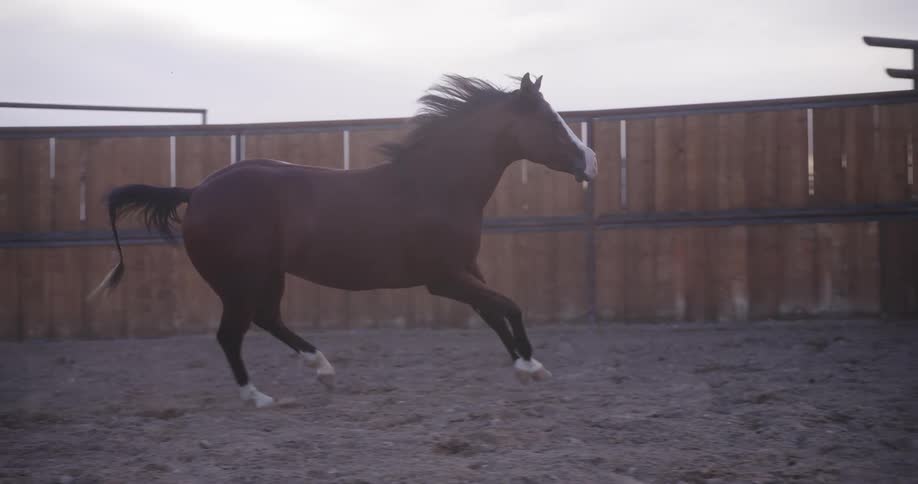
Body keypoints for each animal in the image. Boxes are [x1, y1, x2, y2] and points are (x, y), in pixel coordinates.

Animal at [91, 73, 598, 408]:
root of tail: (196, 192)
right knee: (231, 333)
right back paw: (259, 396)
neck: (434, 185)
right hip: (237, 280)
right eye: (552, 122)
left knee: (267, 319)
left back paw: (322, 370)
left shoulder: (466, 271)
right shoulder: (443, 278)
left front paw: (526, 368)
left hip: (267, 276)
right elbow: (509, 306)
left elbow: (493, 312)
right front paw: (532, 366)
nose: (590, 162)